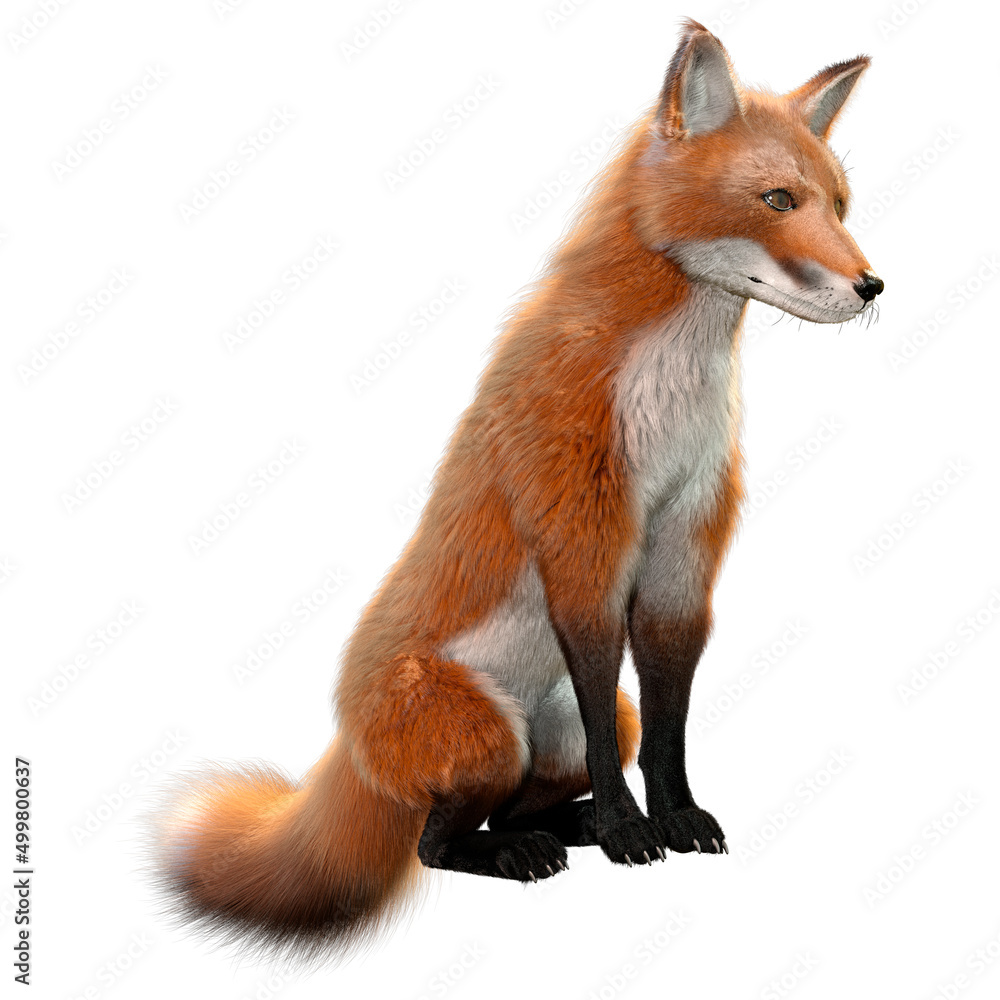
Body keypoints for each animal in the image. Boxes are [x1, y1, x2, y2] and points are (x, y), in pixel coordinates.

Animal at [147, 19, 882, 963]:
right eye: (778, 200)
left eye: (841, 205)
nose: (872, 288)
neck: (670, 392)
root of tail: (348, 745)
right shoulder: (584, 542)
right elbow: (611, 721)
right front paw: (629, 832)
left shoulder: (681, 555)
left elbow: (669, 725)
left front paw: (673, 818)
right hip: (490, 737)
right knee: (437, 841)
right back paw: (530, 849)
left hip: (543, 741)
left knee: (523, 799)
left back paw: (562, 828)